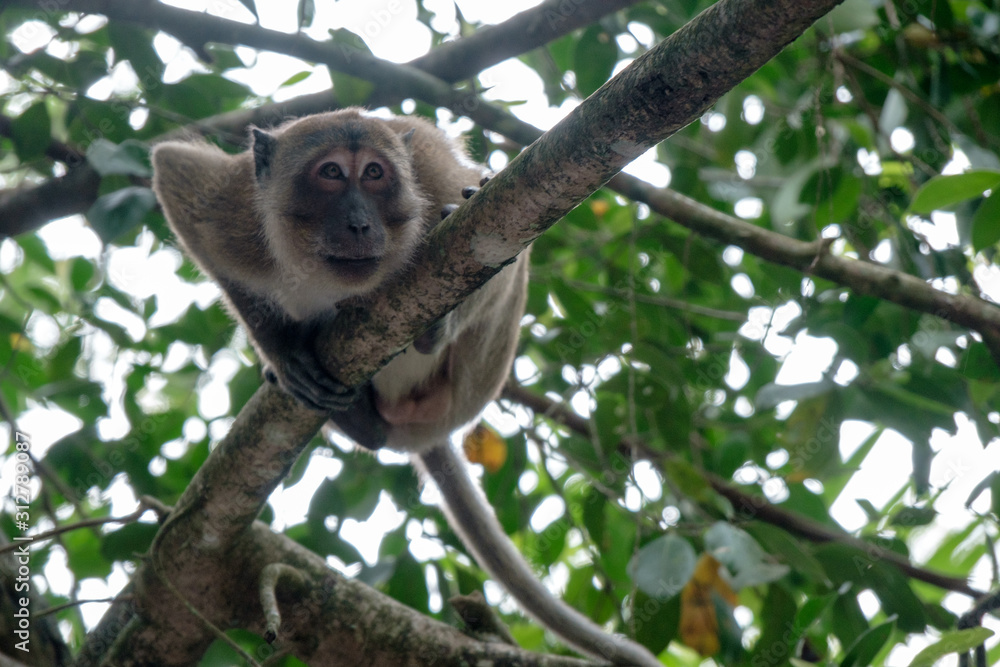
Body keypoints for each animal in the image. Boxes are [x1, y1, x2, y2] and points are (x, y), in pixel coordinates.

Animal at [151, 108, 661, 667]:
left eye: (375, 174)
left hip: (469, 378)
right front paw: (283, 355)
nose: (359, 223)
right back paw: (354, 416)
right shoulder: (234, 212)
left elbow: (502, 215)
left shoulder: (434, 178)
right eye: (331, 173)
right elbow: (173, 170)